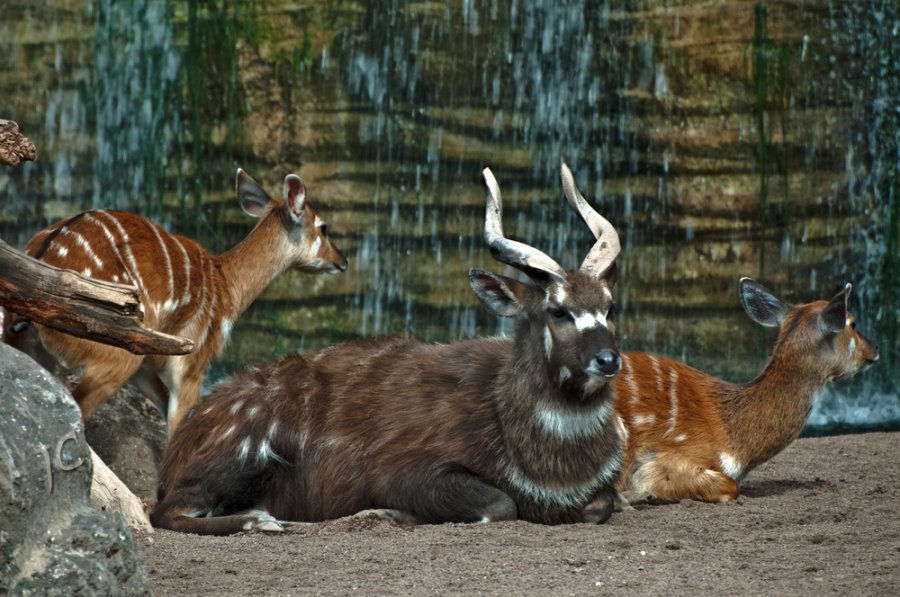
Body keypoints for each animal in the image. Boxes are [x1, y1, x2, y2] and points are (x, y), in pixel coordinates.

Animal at [2, 168, 348, 434]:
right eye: (324, 227)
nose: (343, 262)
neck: (227, 287)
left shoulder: (149, 365)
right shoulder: (192, 361)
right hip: (115, 354)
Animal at [149, 164, 624, 536]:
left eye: (609, 305)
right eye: (557, 310)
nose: (609, 360)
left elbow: (604, 504)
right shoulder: (405, 470)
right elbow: (500, 505)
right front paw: (388, 513)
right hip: (245, 456)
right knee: (165, 512)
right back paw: (262, 520)